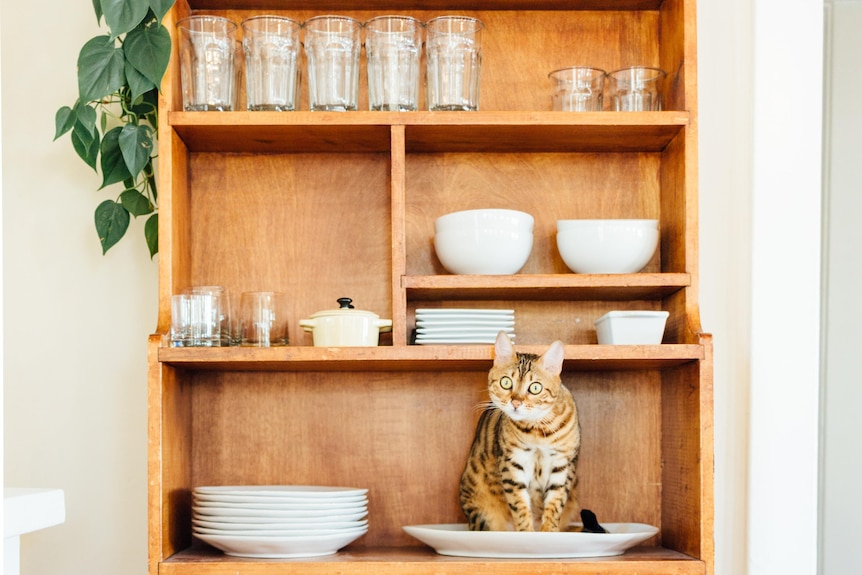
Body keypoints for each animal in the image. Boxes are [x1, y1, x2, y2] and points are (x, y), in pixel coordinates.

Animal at [460, 330, 580, 532]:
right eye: (506, 382)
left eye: (535, 387)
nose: (515, 402)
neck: (538, 432)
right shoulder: (512, 463)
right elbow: (520, 507)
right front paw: (526, 533)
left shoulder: (563, 465)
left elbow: (555, 505)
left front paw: (549, 532)